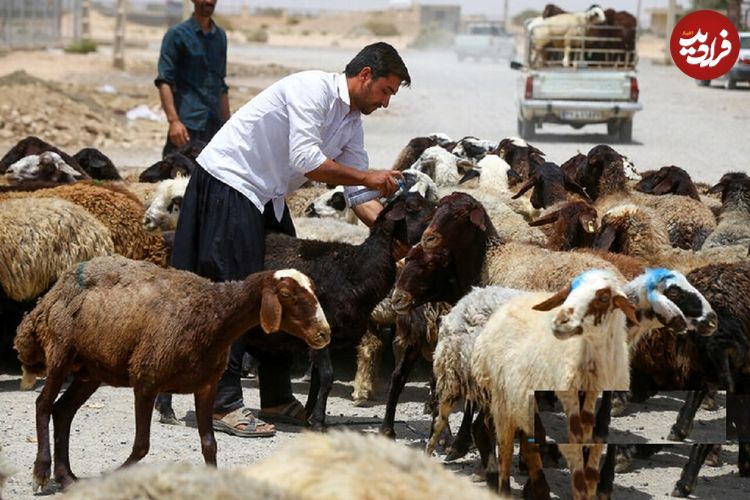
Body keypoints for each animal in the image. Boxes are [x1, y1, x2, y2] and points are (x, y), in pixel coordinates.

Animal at [13, 256, 330, 490]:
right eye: (286, 294)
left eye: (315, 291)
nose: (324, 333)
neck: (214, 316)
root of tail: (52, 293)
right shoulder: (146, 379)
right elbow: (141, 446)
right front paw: (112, 476)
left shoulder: (206, 386)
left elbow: (209, 444)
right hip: (60, 353)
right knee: (43, 405)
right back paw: (41, 472)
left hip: (90, 371)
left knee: (63, 412)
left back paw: (66, 477)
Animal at [472, 272, 636, 498]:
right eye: (570, 291)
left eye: (603, 298)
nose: (560, 321)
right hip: (504, 398)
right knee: (507, 446)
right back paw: (509, 489)